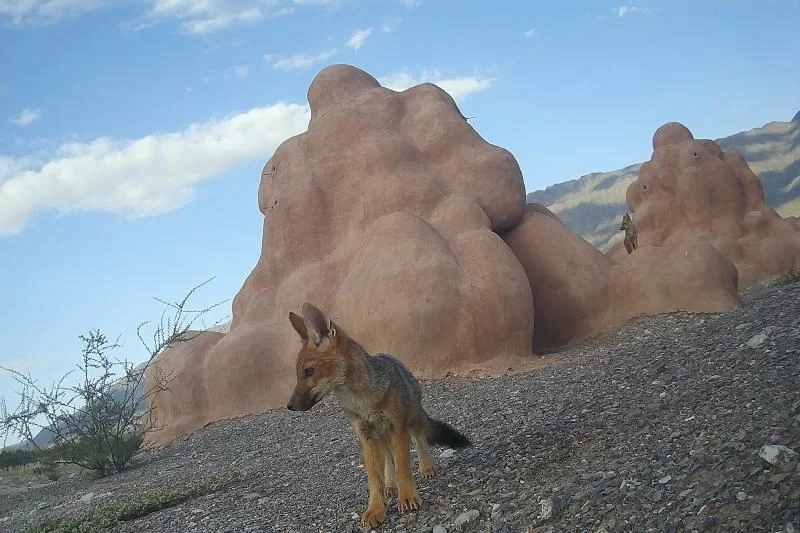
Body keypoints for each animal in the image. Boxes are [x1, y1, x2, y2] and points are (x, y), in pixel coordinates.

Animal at [288, 302, 472, 524]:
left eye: (309, 371)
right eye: (298, 374)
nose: (290, 405)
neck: (363, 402)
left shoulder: (398, 429)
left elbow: (403, 467)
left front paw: (408, 497)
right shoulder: (366, 437)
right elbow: (375, 479)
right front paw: (376, 508)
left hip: (410, 422)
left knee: (419, 440)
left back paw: (427, 468)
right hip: (381, 437)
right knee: (388, 461)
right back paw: (390, 486)